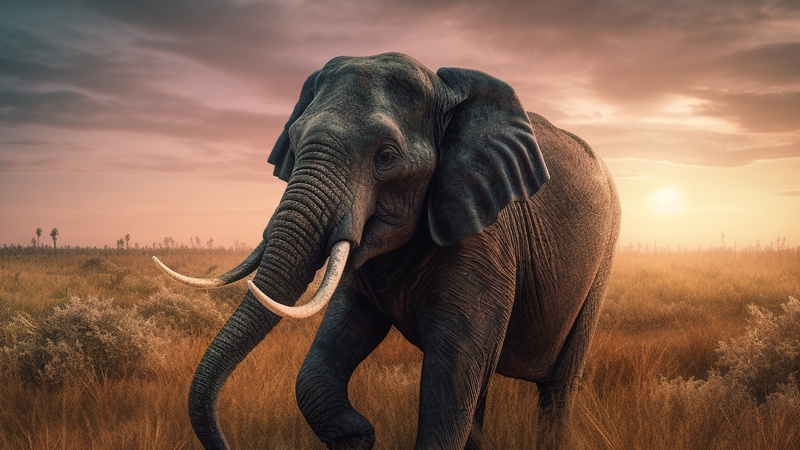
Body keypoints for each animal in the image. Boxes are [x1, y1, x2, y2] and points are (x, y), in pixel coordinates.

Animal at [154, 52, 620, 449]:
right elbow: (341, 333)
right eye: (294, 138)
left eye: (386, 157)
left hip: (602, 262)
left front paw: (360, 432)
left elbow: (450, 376)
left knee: (556, 388)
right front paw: (356, 434)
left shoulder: (485, 242)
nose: (226, 443)